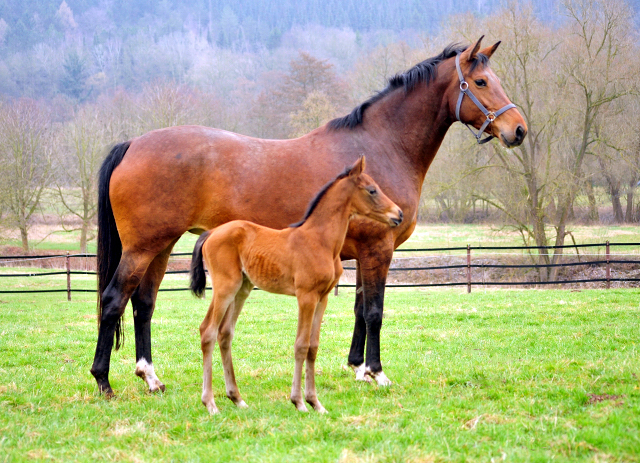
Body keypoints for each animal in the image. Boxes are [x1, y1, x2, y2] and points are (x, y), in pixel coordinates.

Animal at [188, 156, 402, 414]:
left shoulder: (323, 297)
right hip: (224, 288)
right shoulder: (306, 296)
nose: (399, 214)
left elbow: (313, 347)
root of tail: (210, 233)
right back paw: (210, 403)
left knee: (225, 333)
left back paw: (237, 398)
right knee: (208, 330)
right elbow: (301, 345)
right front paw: (299, 401)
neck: (321, 241)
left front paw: (316, 403)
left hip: (242, 289)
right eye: (372, 190)